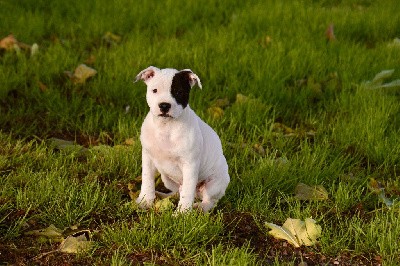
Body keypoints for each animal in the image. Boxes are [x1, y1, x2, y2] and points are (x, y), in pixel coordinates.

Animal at [134, 66, 230, 212]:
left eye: (179, 92)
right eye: (155, 90)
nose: (164, 105)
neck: (166, 126)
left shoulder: (190, 164)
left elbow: (187, 191)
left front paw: (182, 213)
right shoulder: (147, 158)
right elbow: (147, 180)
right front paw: (145, 200)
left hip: (214, 183)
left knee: (210, 200)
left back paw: (200, 207)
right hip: (167, 178)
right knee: (178, 190)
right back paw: (164, 196)